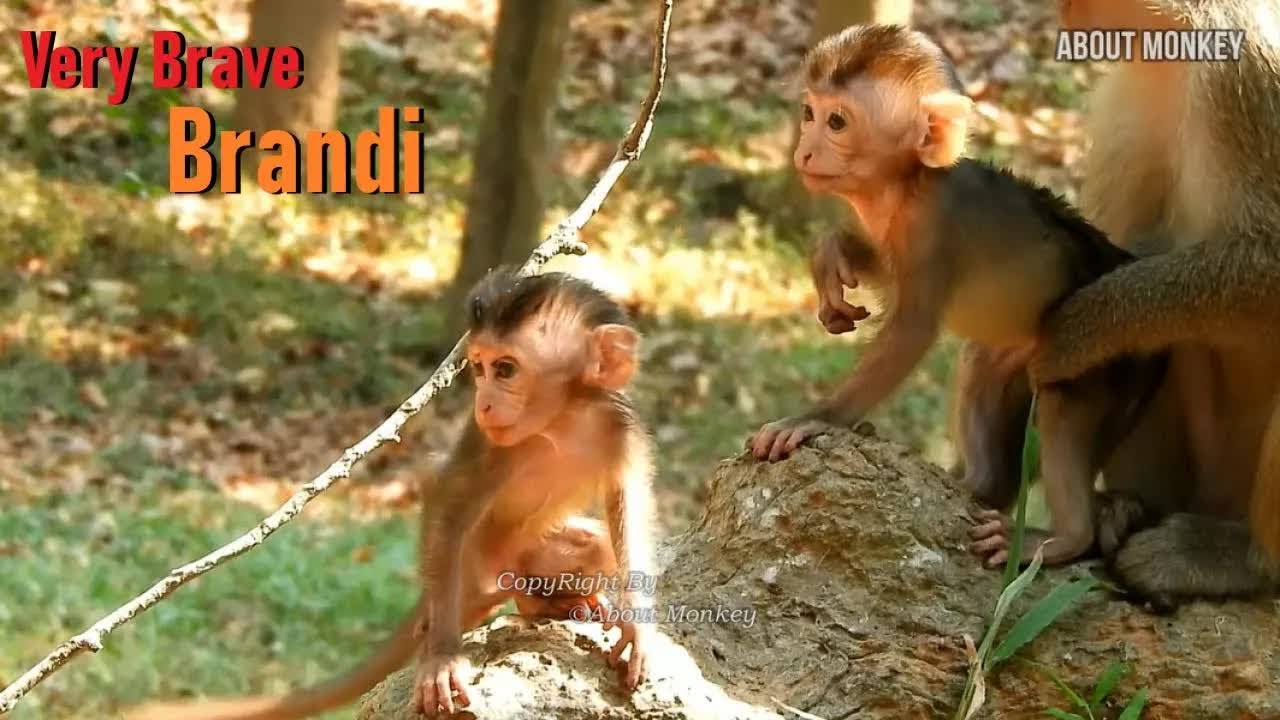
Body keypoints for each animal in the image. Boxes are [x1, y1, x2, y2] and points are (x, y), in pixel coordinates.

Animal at [125, 268, 657, 719]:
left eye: (506, 370)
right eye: (480, 368)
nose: (483, 403)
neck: (562, 420)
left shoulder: (620, 428)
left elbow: (627, 505)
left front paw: (639, 628)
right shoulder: (493, 446)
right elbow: (446, 497)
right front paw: (441, 658)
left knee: (593, 543)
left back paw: (562, 603)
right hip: (473, 569)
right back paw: (516, 609)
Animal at [743, 24, 1172, 571]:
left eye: (836, 121)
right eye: (808, 113)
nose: (804, 150)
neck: (909, 183)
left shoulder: (932, 226)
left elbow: (913, 328)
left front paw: (816, 419)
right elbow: (888, 275)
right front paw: (832, 256)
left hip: (1109, 369)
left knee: (1064, 406)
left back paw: (1064, 540)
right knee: (983, 367)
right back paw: (981, 486)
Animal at [954, 0, 1280, 607]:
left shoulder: (1248, 78)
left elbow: (1265, 266)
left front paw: (1076, 329)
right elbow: (1117, 242)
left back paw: (1242, 562)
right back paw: (1125, 509)